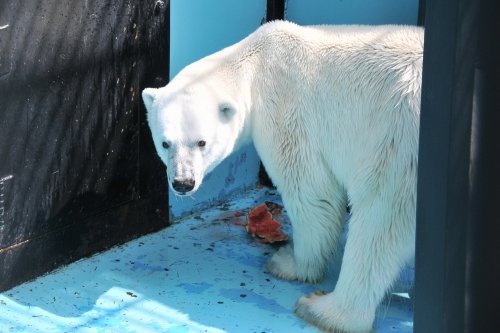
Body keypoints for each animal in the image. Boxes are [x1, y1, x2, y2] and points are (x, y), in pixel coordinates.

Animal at [143, 21, 424, 332]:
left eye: (201, 142)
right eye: (165, 143)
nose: (183, 183)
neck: (255, 63)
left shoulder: (286, 111)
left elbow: (313, 195)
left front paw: (291, 262)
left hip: (398, 140)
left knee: (381, 219)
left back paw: (325, 309)